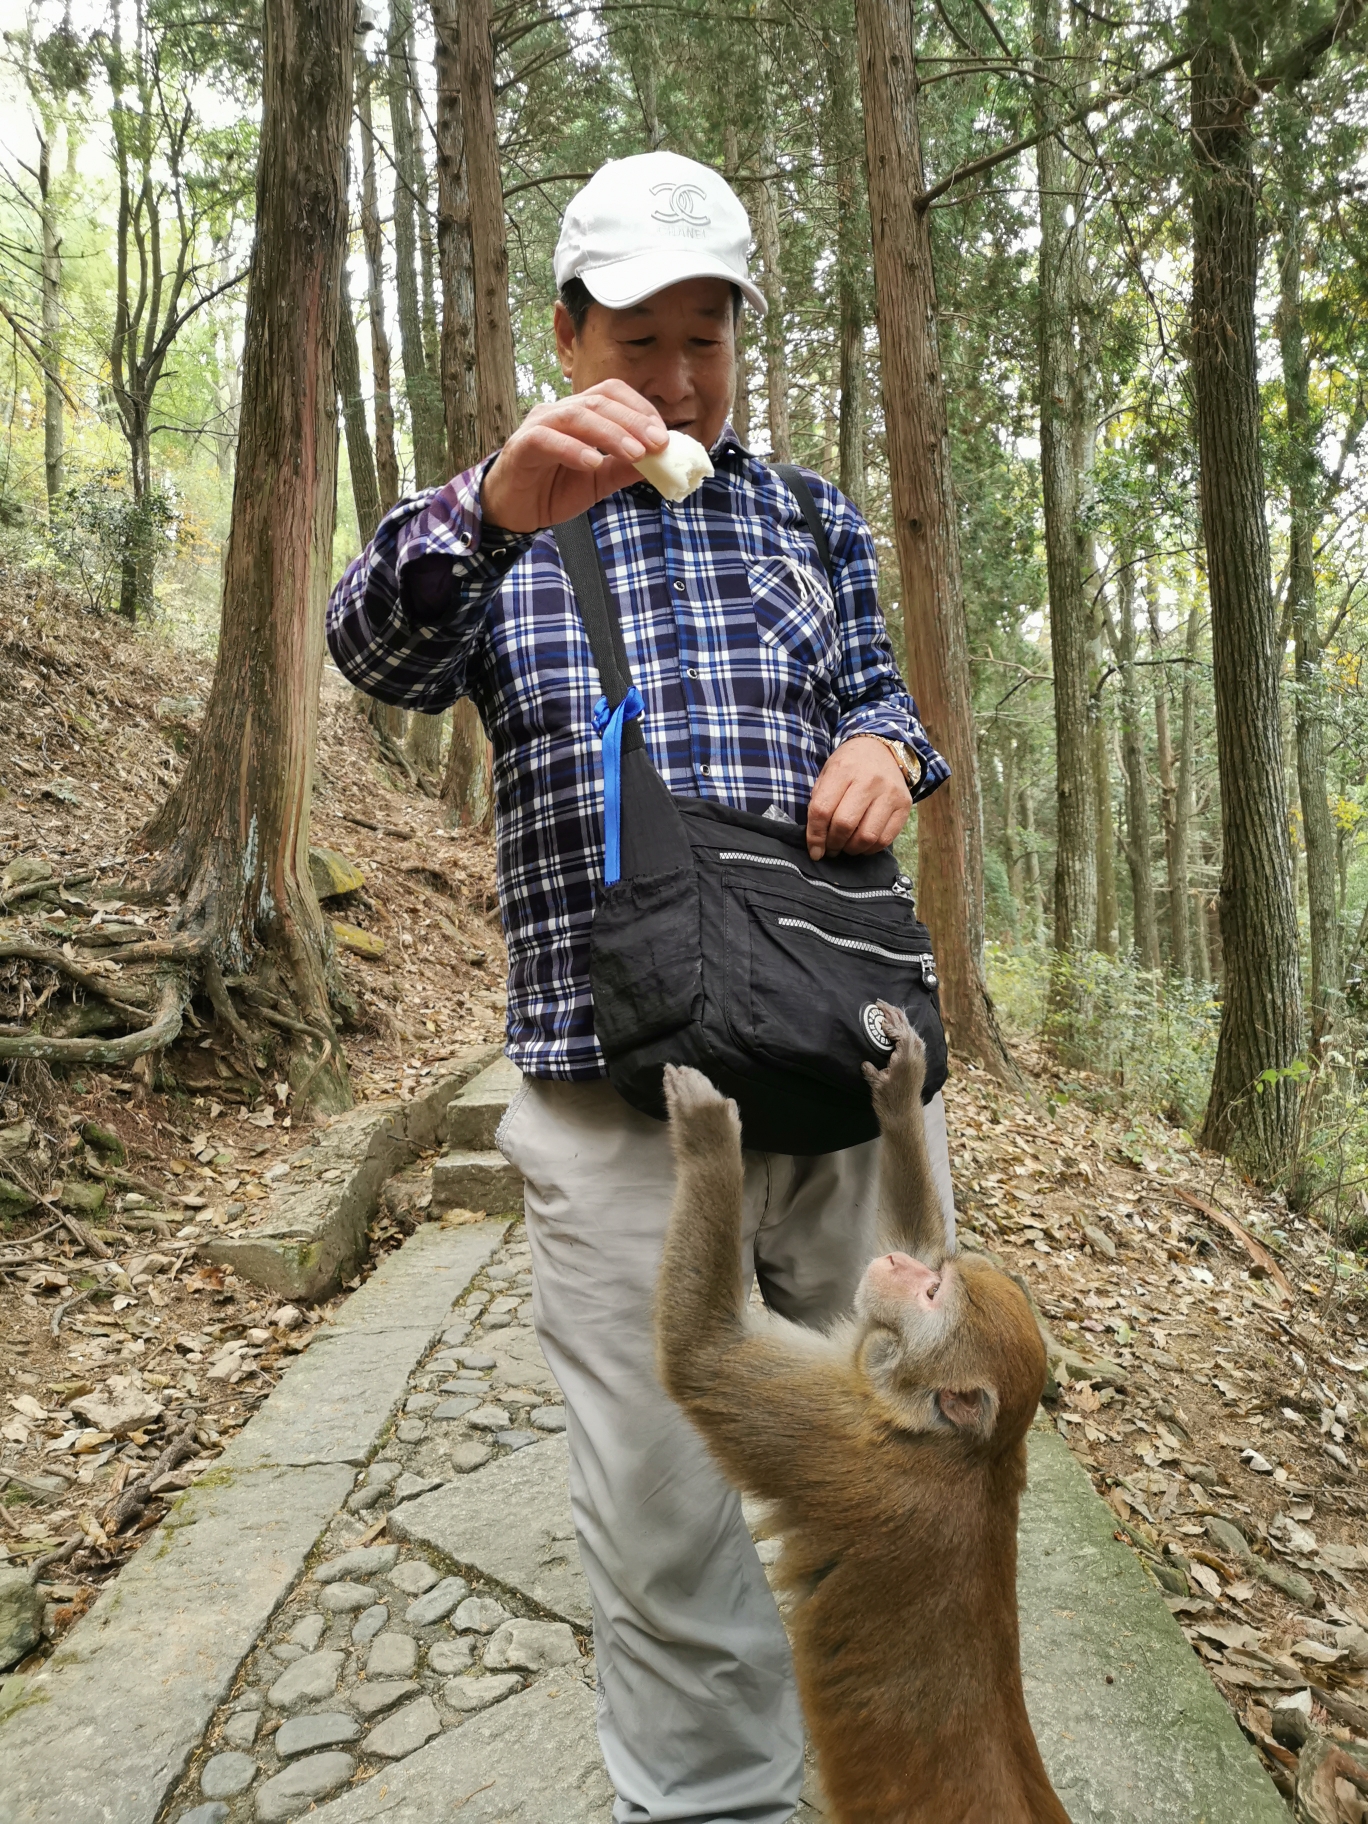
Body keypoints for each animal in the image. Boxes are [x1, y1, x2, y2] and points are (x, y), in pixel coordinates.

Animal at [656, 1006, 1072, 1816]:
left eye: (934, 1294)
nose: (901, 1268)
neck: (963, 1449)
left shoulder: (848, 1440)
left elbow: (701, 1356)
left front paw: (711, 1138)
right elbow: (911, 1222)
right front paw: (903, 1089)